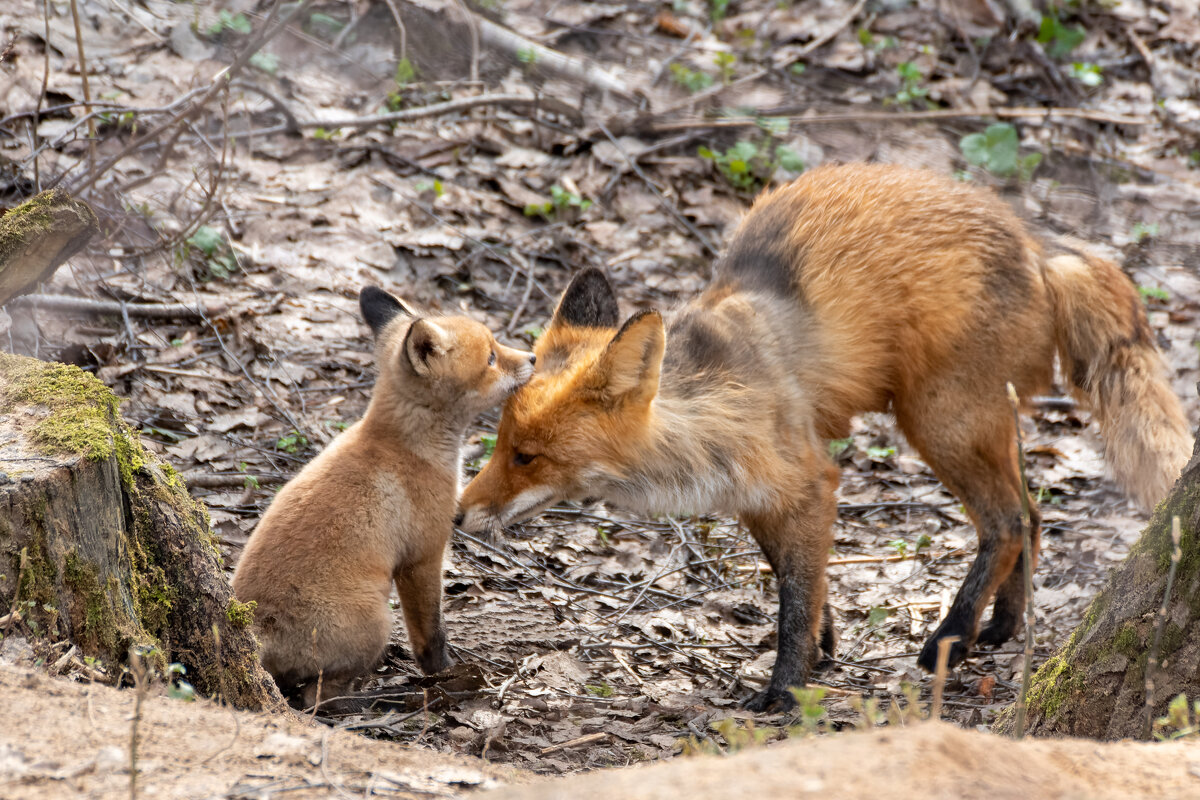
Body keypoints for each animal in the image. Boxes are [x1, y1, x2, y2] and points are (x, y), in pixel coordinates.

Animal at [234, 286, 535, 705]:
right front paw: (444, 672)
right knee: (317, 698)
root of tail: (257, 627)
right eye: (491, 357)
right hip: (376, 620)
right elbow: (431, 633)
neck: (407, 446)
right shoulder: (422, 556)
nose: (534, 357)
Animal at [456, 160, 1190, 705]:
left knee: (1007, 522)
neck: (709, 412)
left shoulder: (808, 481)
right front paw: (824, 647)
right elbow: (798, 581)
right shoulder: (760, 497)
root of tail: (1033, 240)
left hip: (939, 421)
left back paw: (951, 636)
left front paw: (785, 689)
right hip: (976, 425)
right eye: (497, 444)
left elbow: (794, 596)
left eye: (527, 456)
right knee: (1033, 515)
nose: (458, 515)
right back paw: (1006, 624)